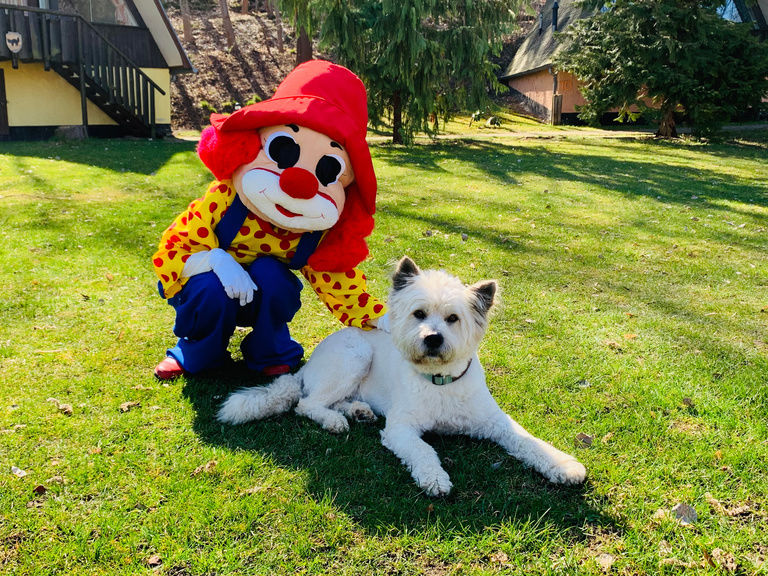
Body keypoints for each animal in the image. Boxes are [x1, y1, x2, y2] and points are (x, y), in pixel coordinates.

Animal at [218, 256, 588, 496]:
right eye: (419, 314)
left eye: (453, 318)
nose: (432, 338)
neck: (440, 381)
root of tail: (307, 367)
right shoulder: (401, 429)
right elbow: (423, 450)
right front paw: (435, 479)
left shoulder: (496, 422)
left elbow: (529, 441)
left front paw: (563, 466)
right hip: (355, 356)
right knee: (307, 404)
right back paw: (335, 420)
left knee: (332, 401)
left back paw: (357, 411)